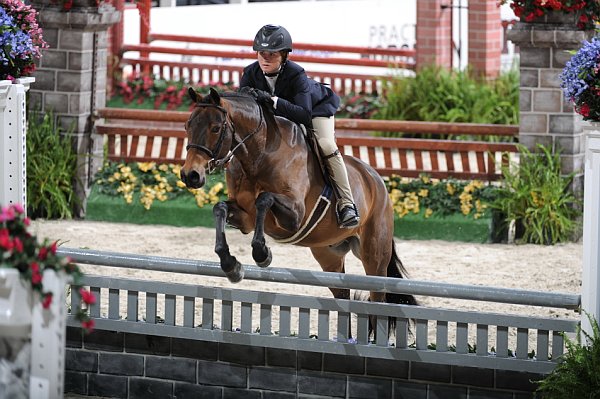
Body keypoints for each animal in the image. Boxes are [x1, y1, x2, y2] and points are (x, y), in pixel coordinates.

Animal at [179, 86, 418, 322]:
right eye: (187, 125)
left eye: (215, 128)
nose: (190, 175)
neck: (259, 154)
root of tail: (377, 180)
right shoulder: (245, 218)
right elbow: (220, 208)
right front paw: (231, 265)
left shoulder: (295, 215)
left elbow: (264, 199)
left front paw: (262, 254)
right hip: (328, 255)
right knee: (343, 293)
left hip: (374, 256)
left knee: (378, 298)